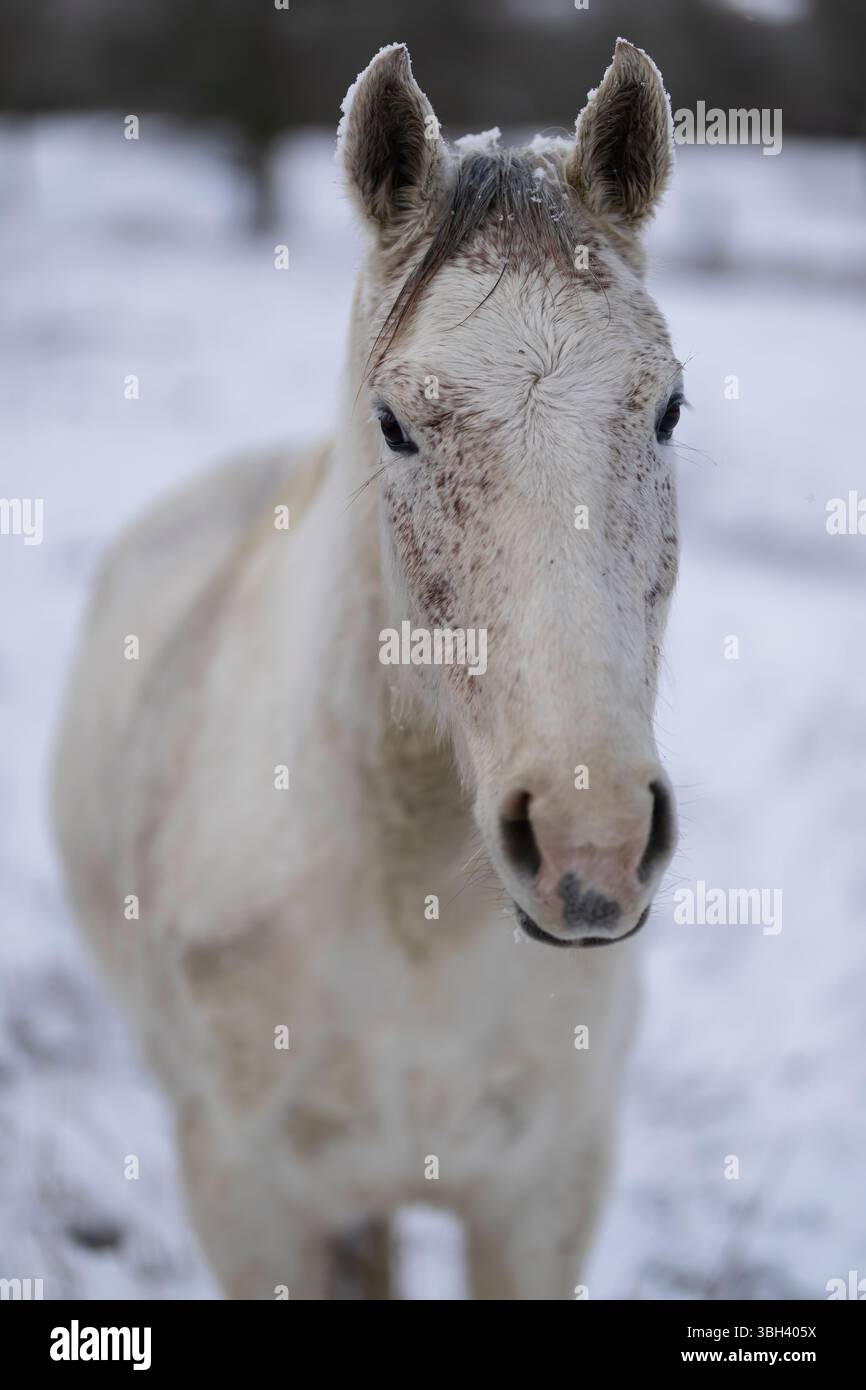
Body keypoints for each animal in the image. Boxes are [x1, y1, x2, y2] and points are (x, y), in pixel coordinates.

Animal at [53, 39, 682, 1299]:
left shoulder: (542, 1197)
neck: (413, 914)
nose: (589, 844)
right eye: (394, 423)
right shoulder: (252, 1203)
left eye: (670, 410)